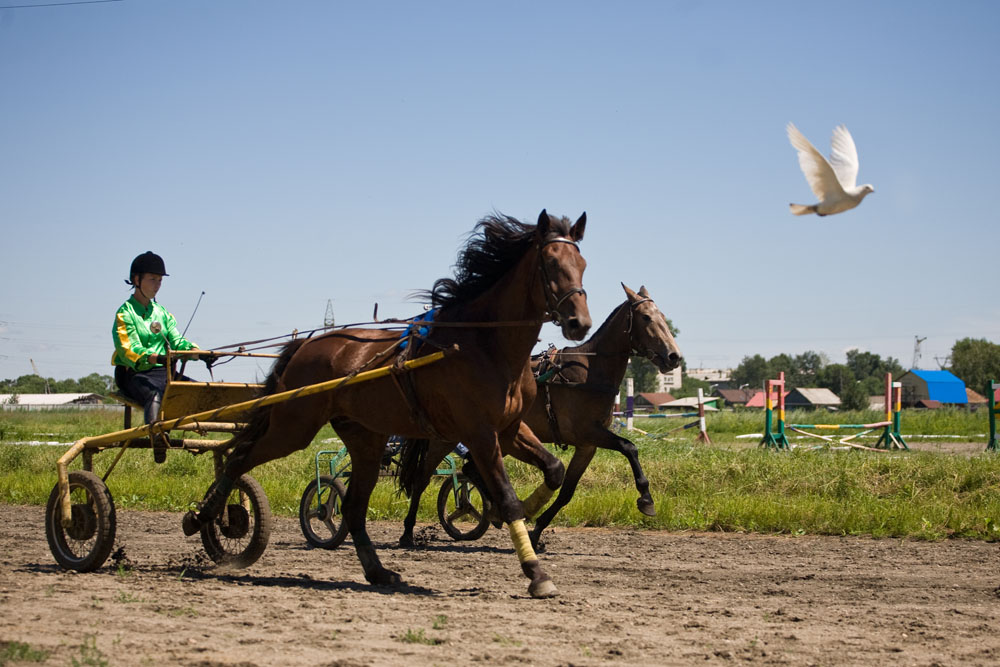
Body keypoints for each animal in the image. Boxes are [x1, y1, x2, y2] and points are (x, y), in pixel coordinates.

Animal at [181, 211, 588, 596]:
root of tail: (308, 343)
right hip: (293, 426)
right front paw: (536, 572)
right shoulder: (480, 433)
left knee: (352, 507)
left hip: (365, 438)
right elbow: (506, 496)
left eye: (582, 263)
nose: (578, 323)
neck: (484, 346)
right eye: (551, 262)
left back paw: (377, 571)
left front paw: (530, 519)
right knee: (239, 459)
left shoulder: (509, 428)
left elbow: (553, 470)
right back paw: (205, 518)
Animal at [396, 284, 680, 552]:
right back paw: (408, 532)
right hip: (447, 437)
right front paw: (646, 499)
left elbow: (567, 492)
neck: (587, 372)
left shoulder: (587, 445)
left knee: (469, 469)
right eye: (646, 317)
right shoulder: (589, 432)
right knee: (422, 478)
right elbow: (629, 447)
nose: (673, 356)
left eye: (662, 316)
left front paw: (536, 533)